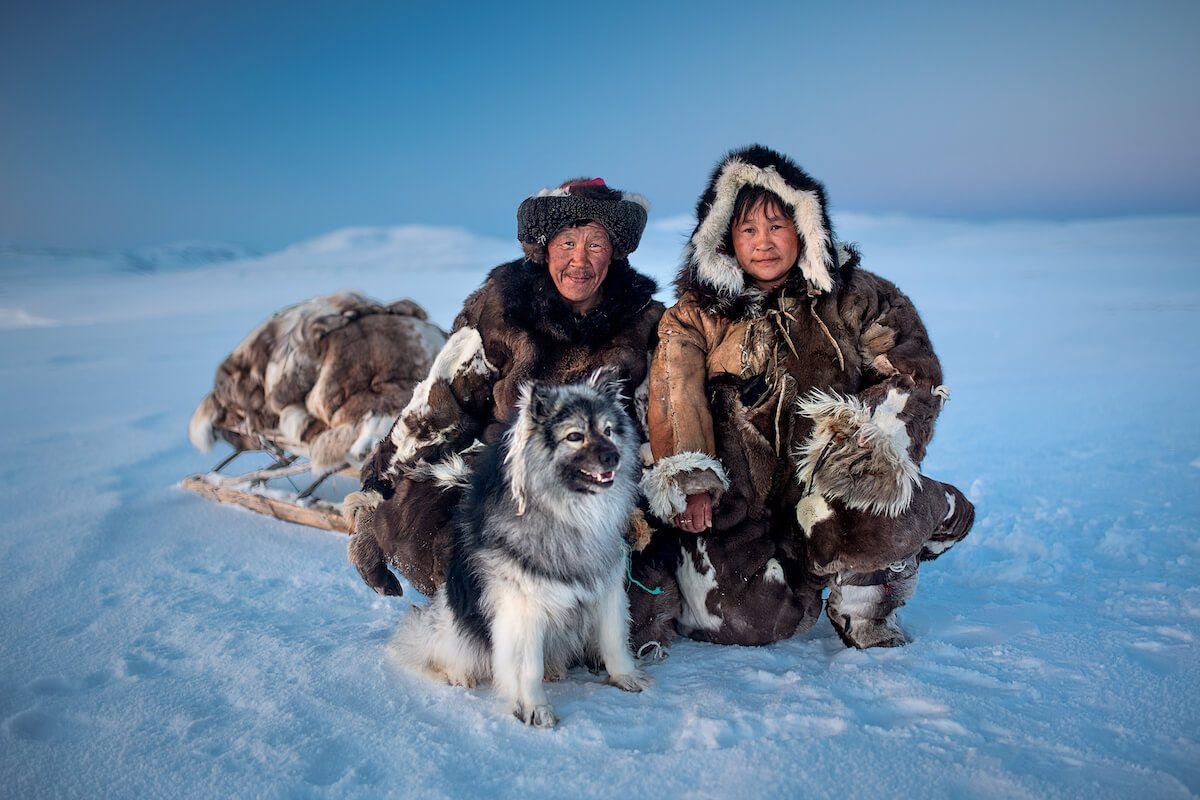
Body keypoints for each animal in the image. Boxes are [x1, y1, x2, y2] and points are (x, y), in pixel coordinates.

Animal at [391, 371, 657, 729]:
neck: (567, 515)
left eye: (608, 431)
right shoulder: (523, 609)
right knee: (443, 654)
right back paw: (459, 675)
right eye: (575, 436)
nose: (612, 457)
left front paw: (625, 677)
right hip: (457, 629)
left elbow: (614, 641)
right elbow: (528, 668)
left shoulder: (607, 591)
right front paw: (534, 708)